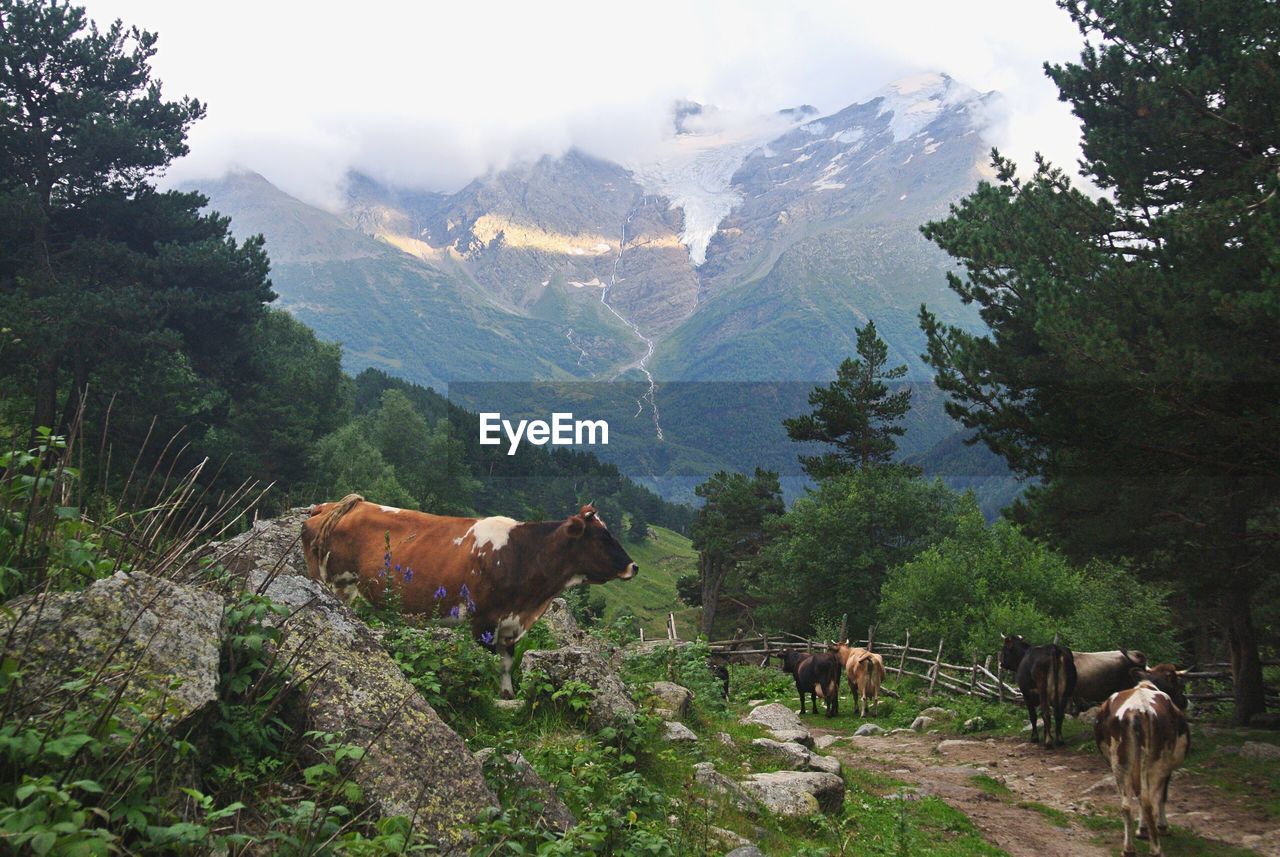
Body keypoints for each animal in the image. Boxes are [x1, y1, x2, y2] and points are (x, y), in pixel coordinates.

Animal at [300, 496, 640, 695]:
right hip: (332, 584)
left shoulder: (509, 625)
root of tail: (337, 505)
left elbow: (506, 663)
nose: (633, 566)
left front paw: (507, 694)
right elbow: (489, 662)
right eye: (602, 537)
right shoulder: (484, 621)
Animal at [1090, 670, 1187, 857]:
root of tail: (1138, 711)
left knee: (1127, 805)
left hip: (1120, 763)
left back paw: (1128, 849)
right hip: (1157, 764)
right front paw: (1160, 828)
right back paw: (1156, 848)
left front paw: (1142, 830)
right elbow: (1163, 796)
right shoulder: (1168, 769)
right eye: (1179, 684)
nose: (1186, 701)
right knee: (1151, 801)